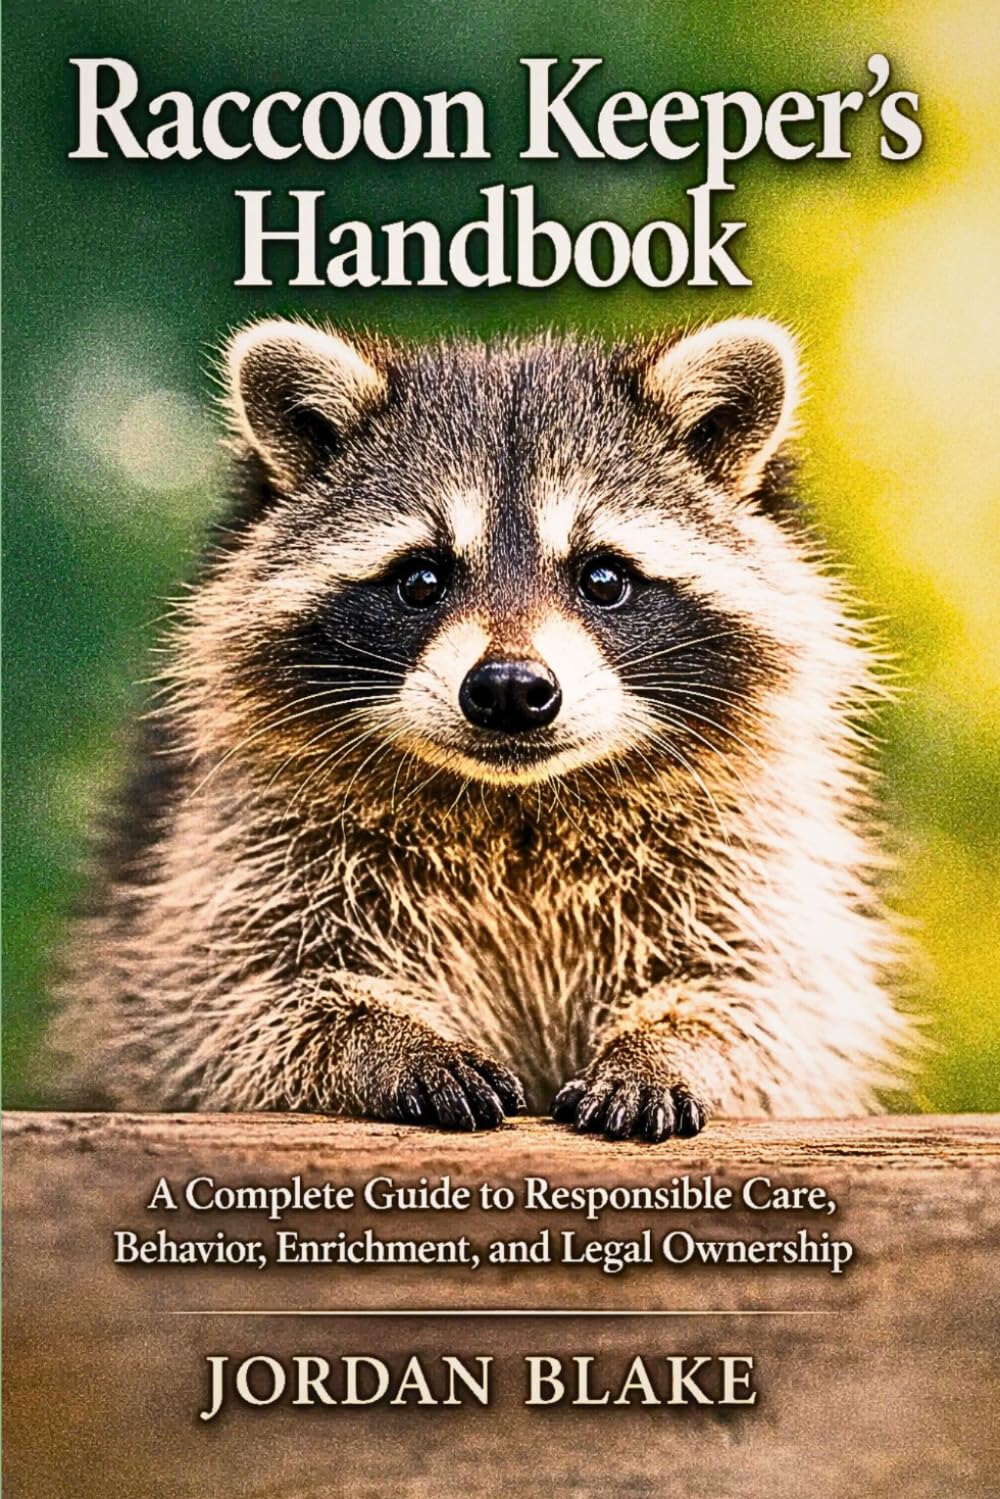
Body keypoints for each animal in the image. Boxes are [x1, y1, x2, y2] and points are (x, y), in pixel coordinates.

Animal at [53, 316, 913, 1140]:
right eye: (420, 578)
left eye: (603, 576)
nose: (508, 689)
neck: (514, 806)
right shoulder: (240, 858)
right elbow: (241, 1004)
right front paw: (385, 1037)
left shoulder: (738, 859)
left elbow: (760, 1002)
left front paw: (665, 1044)